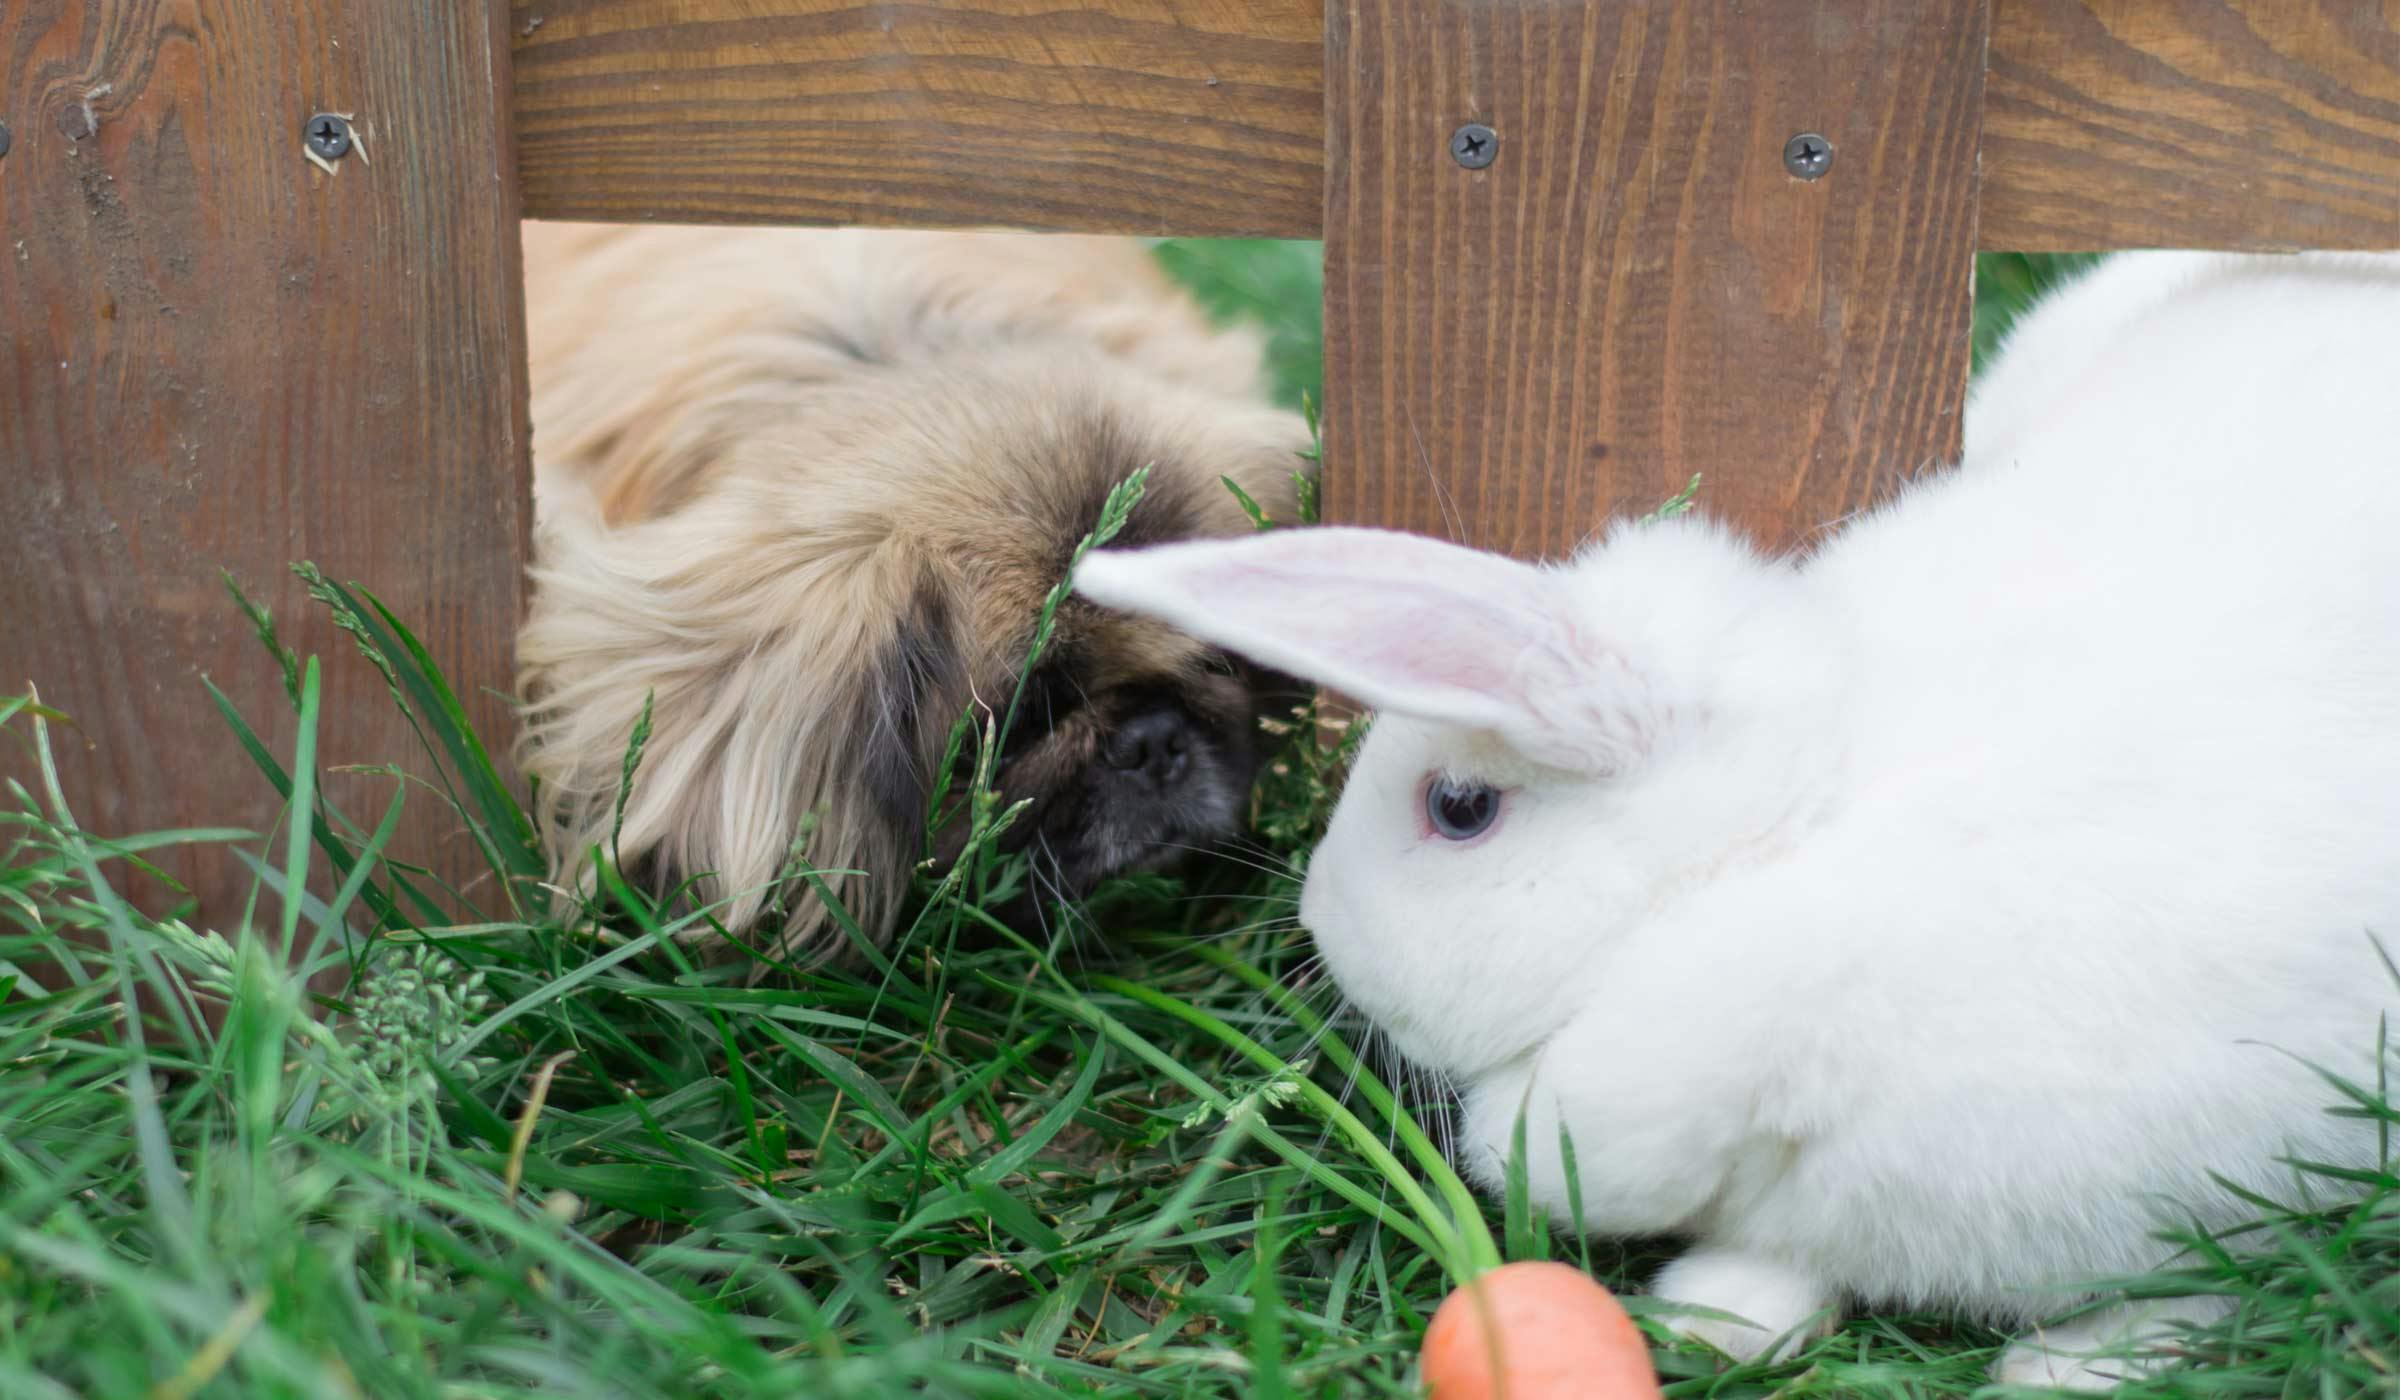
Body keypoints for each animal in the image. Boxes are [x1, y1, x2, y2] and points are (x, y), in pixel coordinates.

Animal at [1080, 254, 2400, 1392]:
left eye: (1460, 807)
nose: (1313, 921)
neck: (1772, 840)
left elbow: (2207, 1282)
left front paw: (2079, 1365)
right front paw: (1714, 1317)